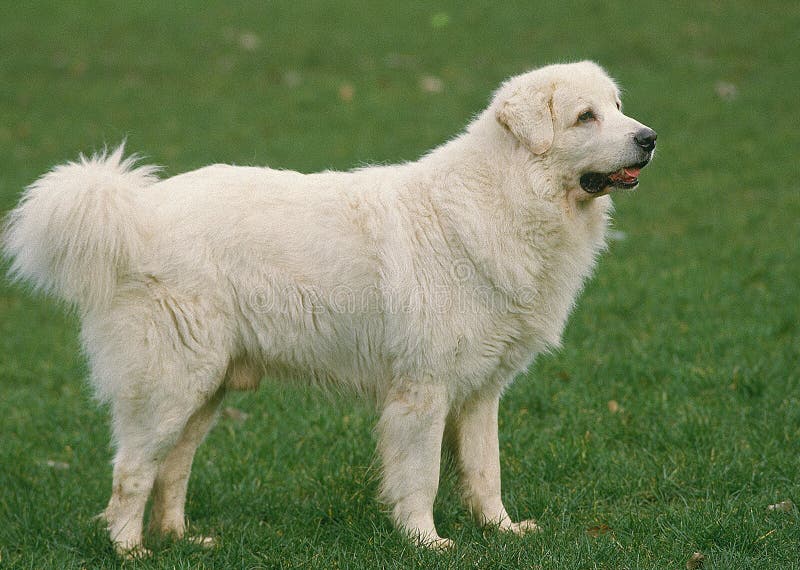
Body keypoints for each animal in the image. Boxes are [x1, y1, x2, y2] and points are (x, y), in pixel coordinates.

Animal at [1, 61, 656, 556]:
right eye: (586, 116)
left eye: (618, 105)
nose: (649, 138)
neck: (506, 196)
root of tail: (134, 213)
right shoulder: (422, 391)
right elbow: (421, 476)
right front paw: (426, 543)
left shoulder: (479, 393)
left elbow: (485, 471)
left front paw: (503, 531)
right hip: (169, 386)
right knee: (132, 470)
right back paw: (129, 550)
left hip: (205, 392)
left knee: (172, 469)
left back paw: (183, 541)